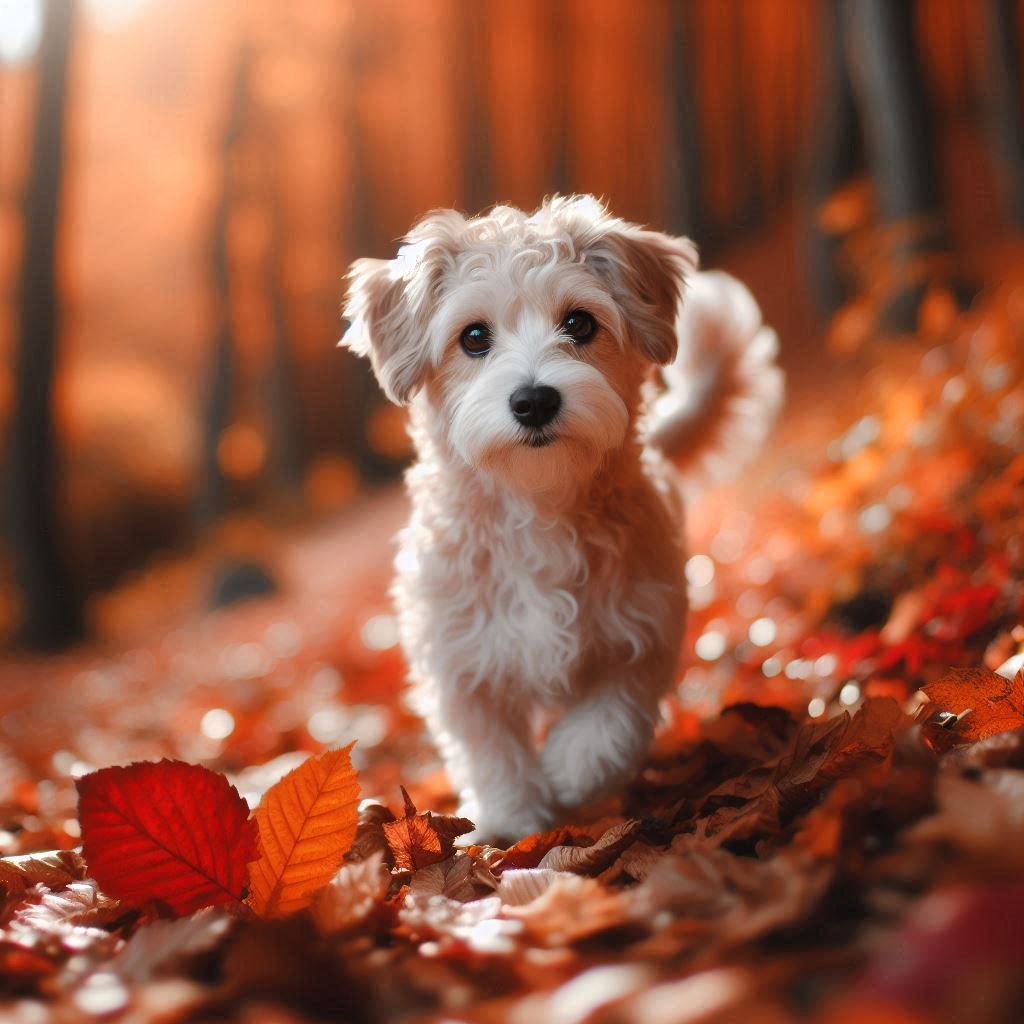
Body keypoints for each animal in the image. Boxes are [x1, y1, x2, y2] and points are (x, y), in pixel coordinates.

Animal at [344, 195, 782, 843]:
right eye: (474, 337)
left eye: (579, 323)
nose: (534, 400)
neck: (538, 505)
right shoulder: (461, 663)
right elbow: (493, 753)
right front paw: (514, 821)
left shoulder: (641, 632)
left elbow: (606, 724)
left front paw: (572, 775)